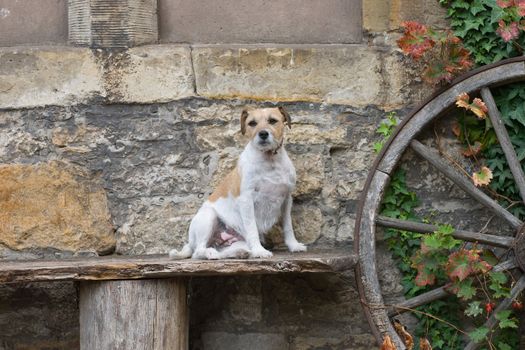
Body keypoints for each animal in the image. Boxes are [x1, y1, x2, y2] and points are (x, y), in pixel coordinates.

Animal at [168, 106, 308, 260]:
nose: (263, 134)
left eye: (272, 120)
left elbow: (288, 226)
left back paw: (238, 252)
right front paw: (259, 251)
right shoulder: (246, 200)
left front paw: (294, 245)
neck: (269, 160)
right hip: (209, 217)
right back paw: (211, 253)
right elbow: (252, 228)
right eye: (252, 123)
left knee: (223, 251)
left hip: (237, 241)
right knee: (198, 251)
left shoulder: (286, 200)